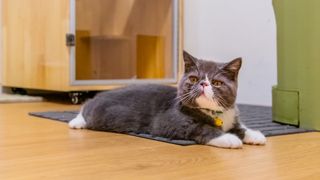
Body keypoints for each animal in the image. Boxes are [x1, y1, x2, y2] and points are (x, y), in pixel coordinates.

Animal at [69, 51, 264, 149]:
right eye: (194, 78)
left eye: (216, 83)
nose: (203, 84)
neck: (214, 114)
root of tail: (102, 93)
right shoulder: (169, 122)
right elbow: (201, 128)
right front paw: (228, 138)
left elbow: (240, 127)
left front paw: (254, 135)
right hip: (100, 114)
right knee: (86, 107)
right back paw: (76, 122)